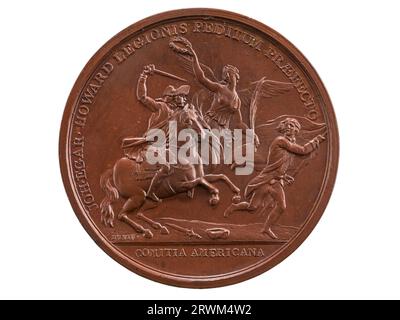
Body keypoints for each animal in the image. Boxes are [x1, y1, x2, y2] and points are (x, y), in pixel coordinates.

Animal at [99, 104, 241, 238]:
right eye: (188, 120)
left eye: (197, 117)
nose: (203, 134)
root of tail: (113, 170)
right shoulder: (179, 186)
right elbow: (200, 181)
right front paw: (215, 197)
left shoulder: (202, 176)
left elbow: (220, 176)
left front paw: (236, 192)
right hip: (138, 196)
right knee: (122, 215)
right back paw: (145, 230)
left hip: (151, 201)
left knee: (139, 213)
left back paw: (159, 227)